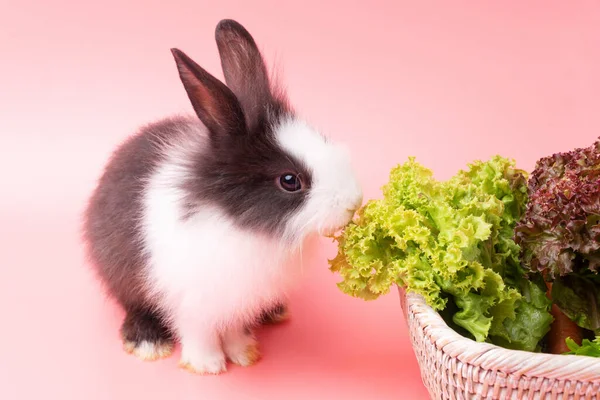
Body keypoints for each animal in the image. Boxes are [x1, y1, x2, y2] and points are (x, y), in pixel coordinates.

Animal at [82, 18, 364, 376]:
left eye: (323, 138)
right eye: (290, 181)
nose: (354, 203)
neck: (239, 224)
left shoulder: (237, 300)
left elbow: (232, 329)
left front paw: (243, 354)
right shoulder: (191, 298)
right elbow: (197, 331)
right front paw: (208, 365)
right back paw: (149, 343)